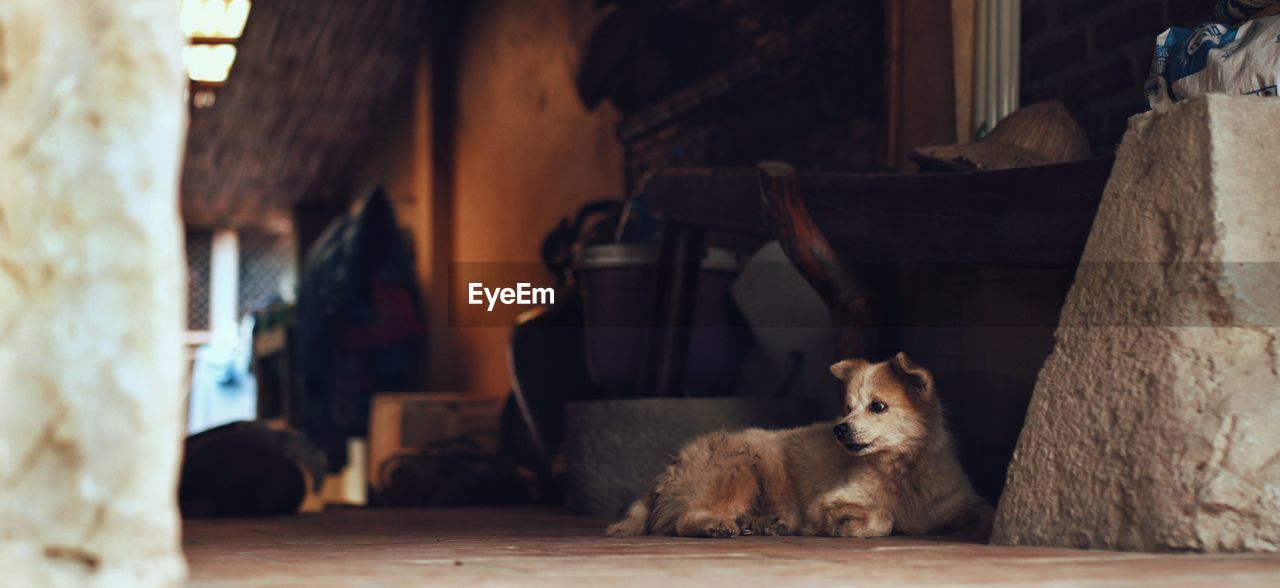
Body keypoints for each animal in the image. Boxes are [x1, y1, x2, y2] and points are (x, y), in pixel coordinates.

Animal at [606, 351, 988, 540]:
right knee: (685, 520)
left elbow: (983, 513)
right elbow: (883, 516)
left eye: (877, 406)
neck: (902, 470)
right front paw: (847, 528)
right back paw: (717, 526)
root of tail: (672, 466)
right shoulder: (827, 501)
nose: (840, 430)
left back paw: (768, 524)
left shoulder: (962, 502)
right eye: (847, 407)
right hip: (742, 468)